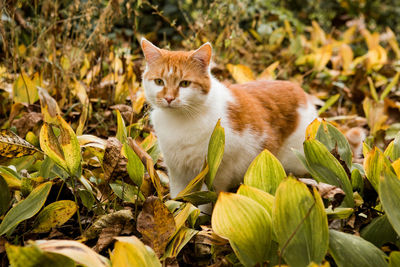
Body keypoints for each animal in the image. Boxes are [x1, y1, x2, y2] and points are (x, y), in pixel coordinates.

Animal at [141, 38, 318, 200]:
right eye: (159, 82)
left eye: (184, 84)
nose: (169, 98)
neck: (179, 120)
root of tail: (302, 94)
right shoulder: (177, 172)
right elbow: (178, 198)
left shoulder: (215, 173)